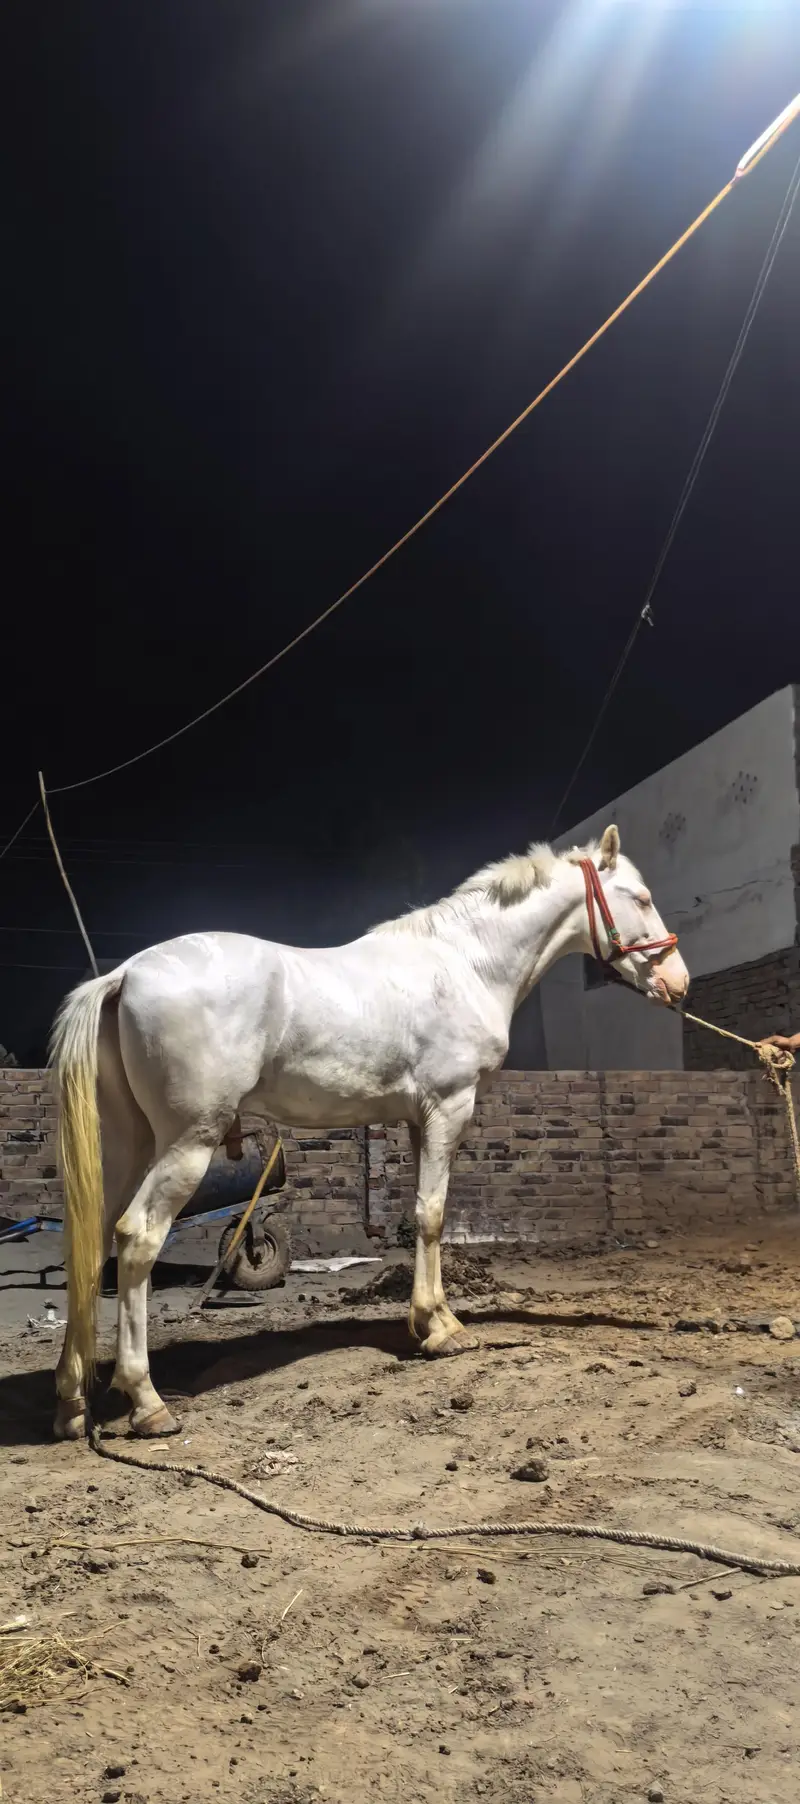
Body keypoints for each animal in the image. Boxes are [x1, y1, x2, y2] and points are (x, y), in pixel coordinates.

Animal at [50, 823, 688, 1441]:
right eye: (642, 898)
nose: (678, 982)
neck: (466, 963)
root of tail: (126, 974)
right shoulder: (449, 1109)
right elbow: (432, 1215)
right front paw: (443, 1329)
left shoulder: (418, 1119)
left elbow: (423, 1215)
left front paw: (431, 1321)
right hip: (187, 1142)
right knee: (137, 1238)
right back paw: (147, 1403)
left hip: (129, 1144)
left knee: (93, 1238)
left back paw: (73, 1403)